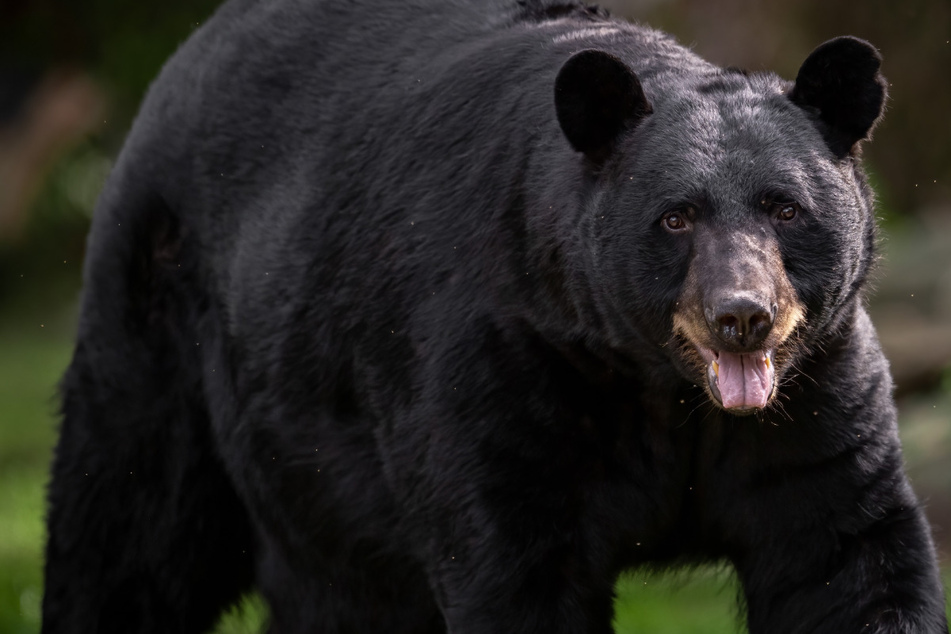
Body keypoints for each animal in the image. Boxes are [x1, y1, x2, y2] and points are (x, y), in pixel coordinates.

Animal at [42, 0, 949, 632]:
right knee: (125, 533)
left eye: (784, 208)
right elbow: (512, 564)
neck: (661, 386)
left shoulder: (816, 398)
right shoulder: (502, 369)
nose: (742, 316)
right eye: (675, 217)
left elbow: (845, 555)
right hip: (162, 335)